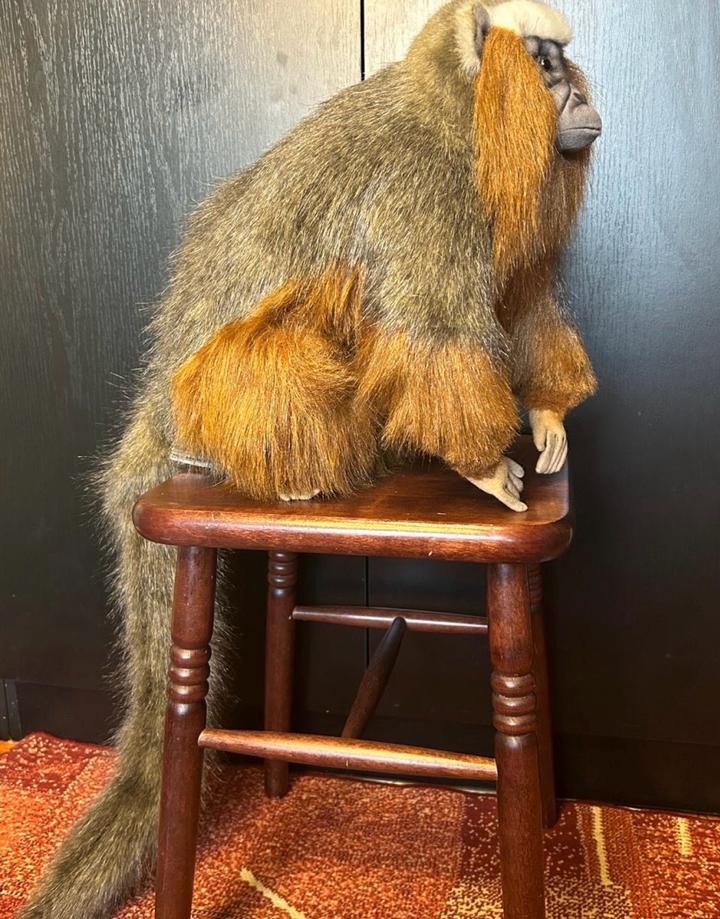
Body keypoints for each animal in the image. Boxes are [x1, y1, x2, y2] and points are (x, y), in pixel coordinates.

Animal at [21, 1, 600, 916]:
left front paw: (544, 409)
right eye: (544, 67)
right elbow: (430, 326)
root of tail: (163, 394)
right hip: (210, 394)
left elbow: (521, 303)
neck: (453, 109)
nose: (577, 94)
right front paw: (478, 464)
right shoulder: (426, 190)